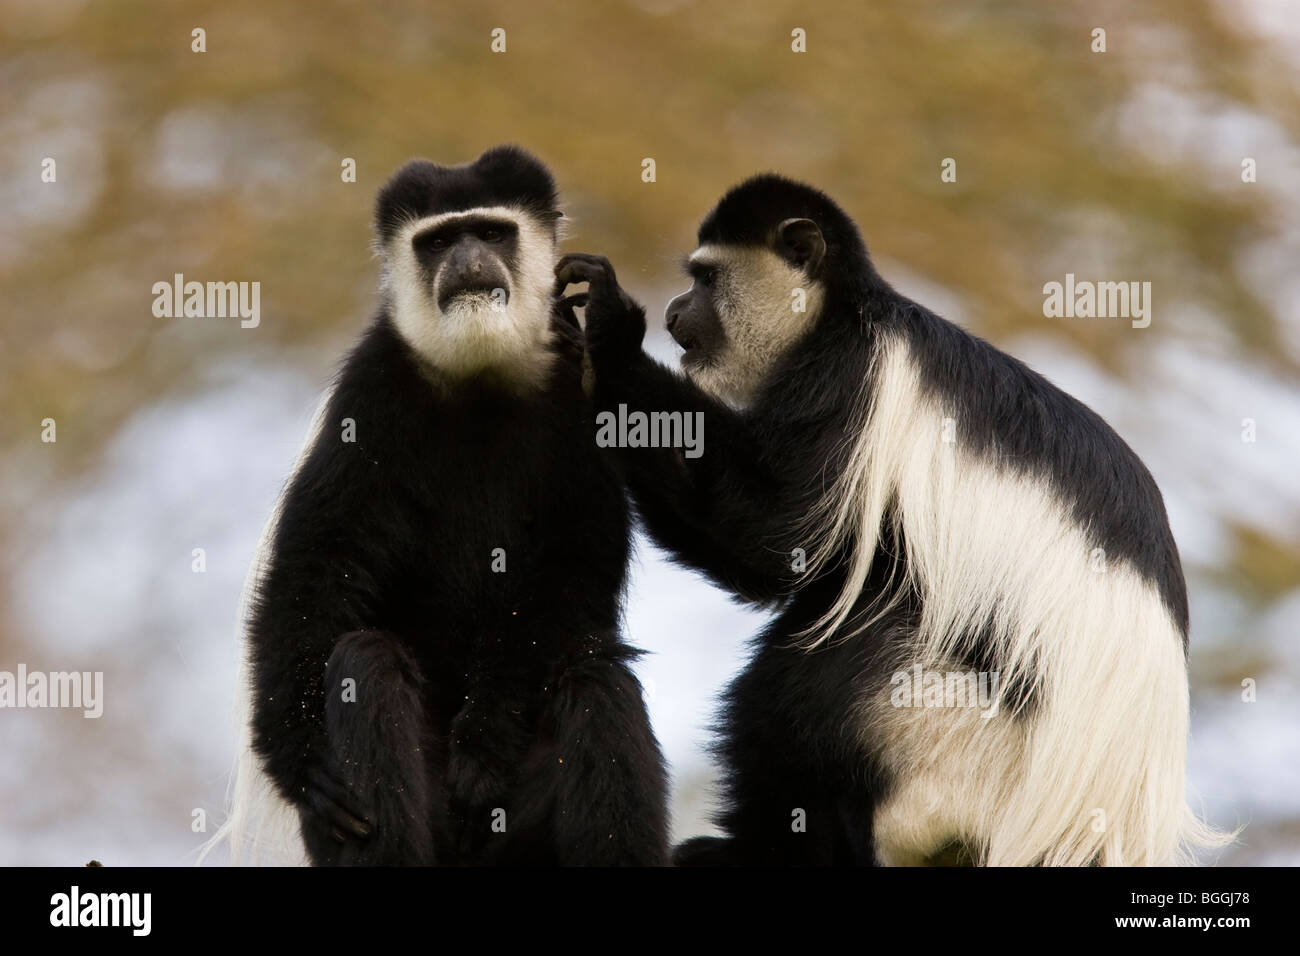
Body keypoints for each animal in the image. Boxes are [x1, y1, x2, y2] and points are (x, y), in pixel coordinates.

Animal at [222, 147, 665, 868]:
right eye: (436, 242)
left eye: (489, 233)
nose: (466, 262)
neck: (480, 377)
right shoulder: (372, 394)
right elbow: (316, 571)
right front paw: (306, 763)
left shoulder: (583, 395)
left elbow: (571, 568)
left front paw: (483, 745)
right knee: (365, 664)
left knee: (594, 675)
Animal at [559, 174, 1227, 868]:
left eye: (706, 278)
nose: (672, 313)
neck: (838, 318)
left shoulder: (847, 387)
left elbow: (776, 542)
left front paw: (608, 331)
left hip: (951, 735)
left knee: (826, 672)